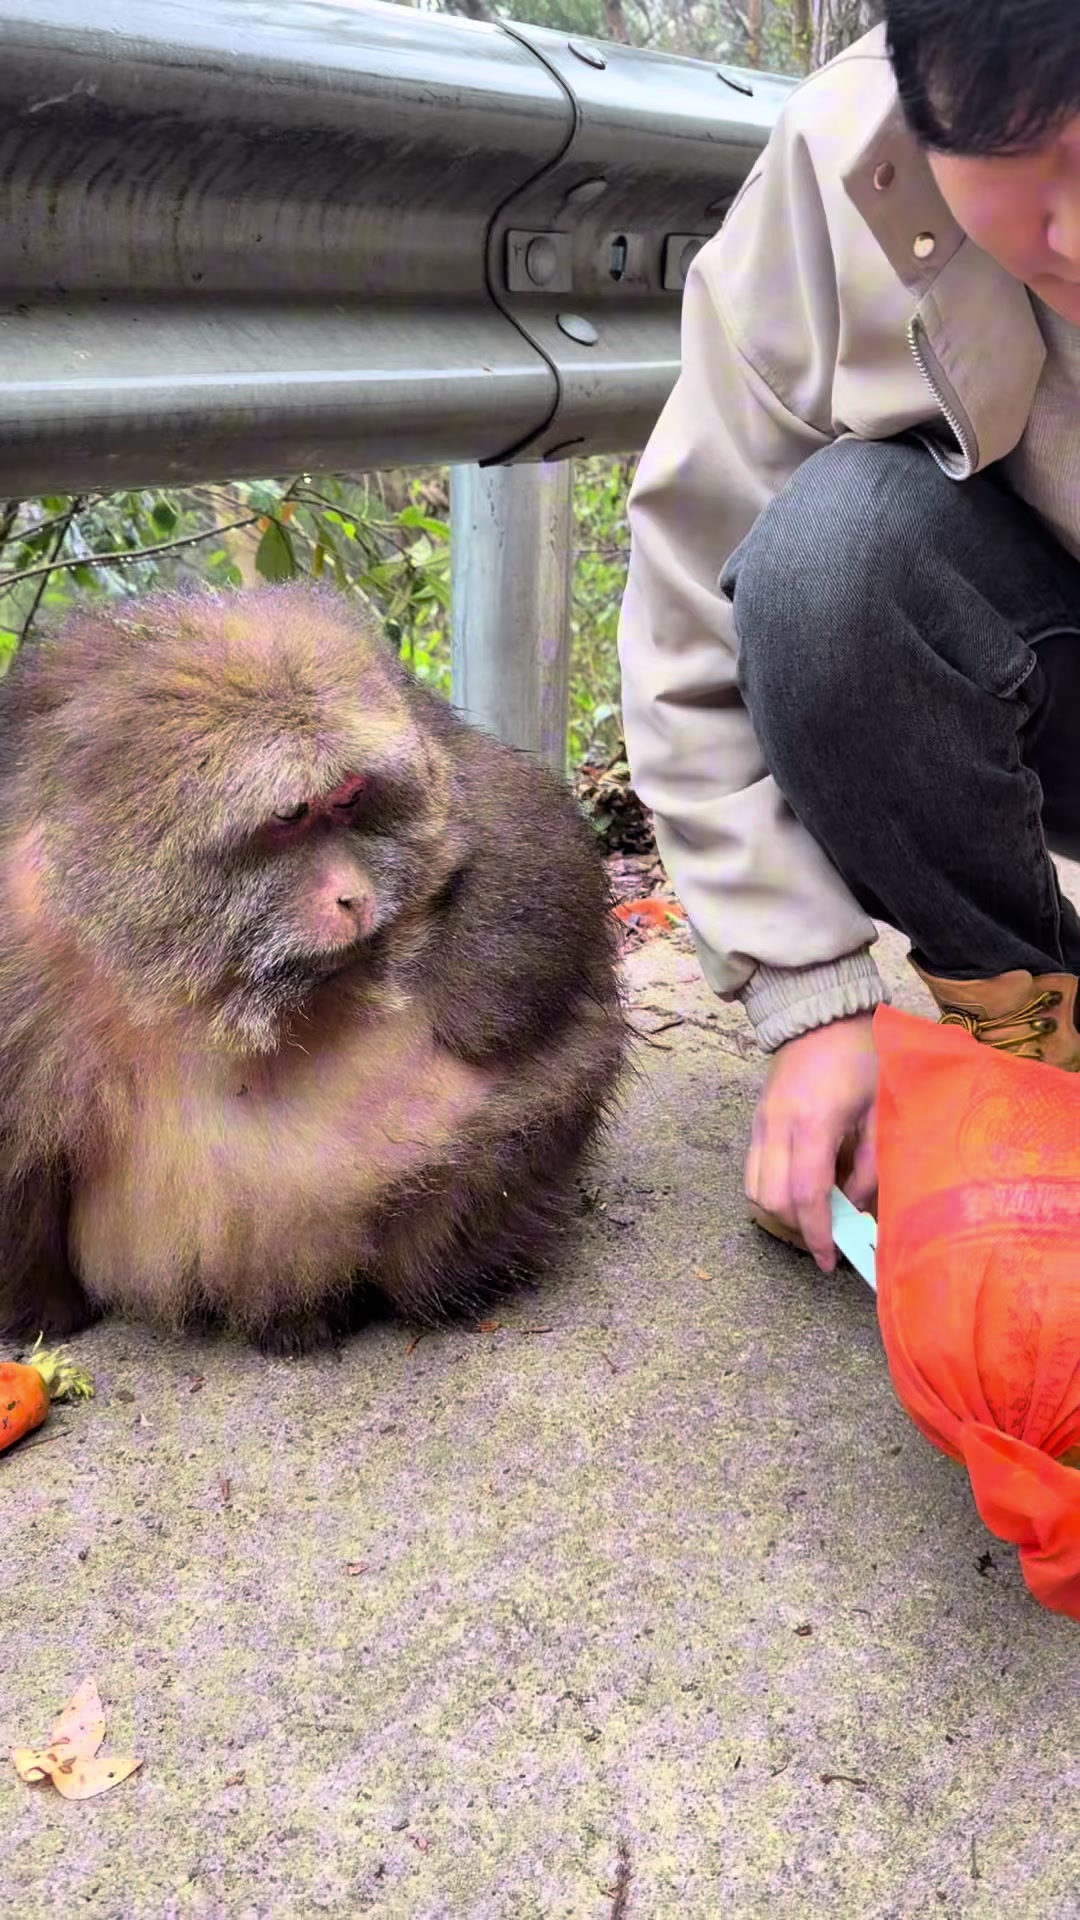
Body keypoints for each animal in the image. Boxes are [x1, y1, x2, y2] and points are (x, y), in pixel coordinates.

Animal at [0, 583, 626, 1355]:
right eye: (292, 815)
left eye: (350, 799)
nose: (353, 896)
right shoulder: (18, 932)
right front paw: (42, 1314)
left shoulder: (426, 741)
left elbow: (510, 811)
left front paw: (481, 996)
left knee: (565, 1066)